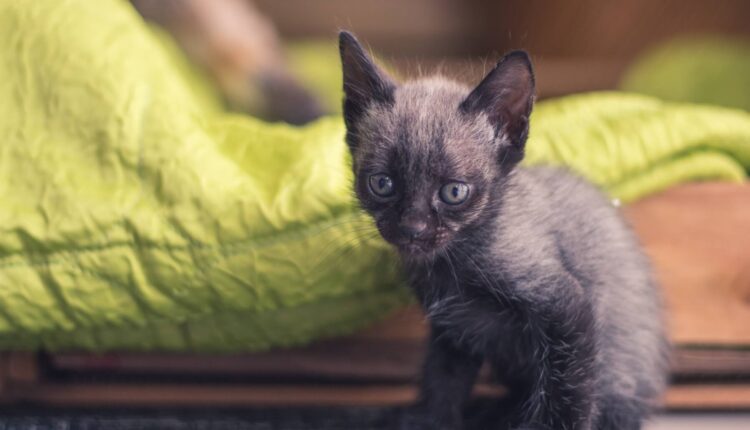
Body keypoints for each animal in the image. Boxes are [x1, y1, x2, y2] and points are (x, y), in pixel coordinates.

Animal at [340, 31, 668, 430]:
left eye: (454, 192)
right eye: (382, 184)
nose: (412, 228)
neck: (453, 263)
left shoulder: (566, 306)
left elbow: (567, 390)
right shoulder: (454, 328)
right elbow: (443, 378)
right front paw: (429, 419)